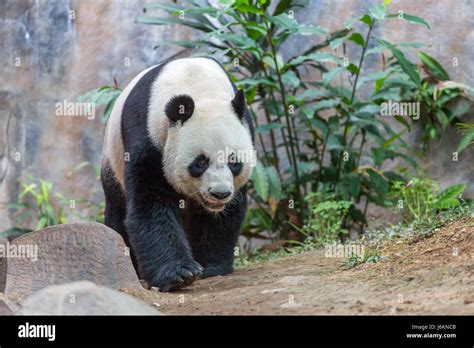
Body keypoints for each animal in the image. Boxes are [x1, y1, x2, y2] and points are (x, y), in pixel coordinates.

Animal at [100, 57, 256, 290]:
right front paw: (179, 273)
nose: (219, 194)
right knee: (117, 210)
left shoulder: (245, 128)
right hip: (112, 160)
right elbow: (150, 205)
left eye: (233, 161)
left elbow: (225, 214)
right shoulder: (149, 137)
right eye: (201, 162)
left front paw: (211, 266)